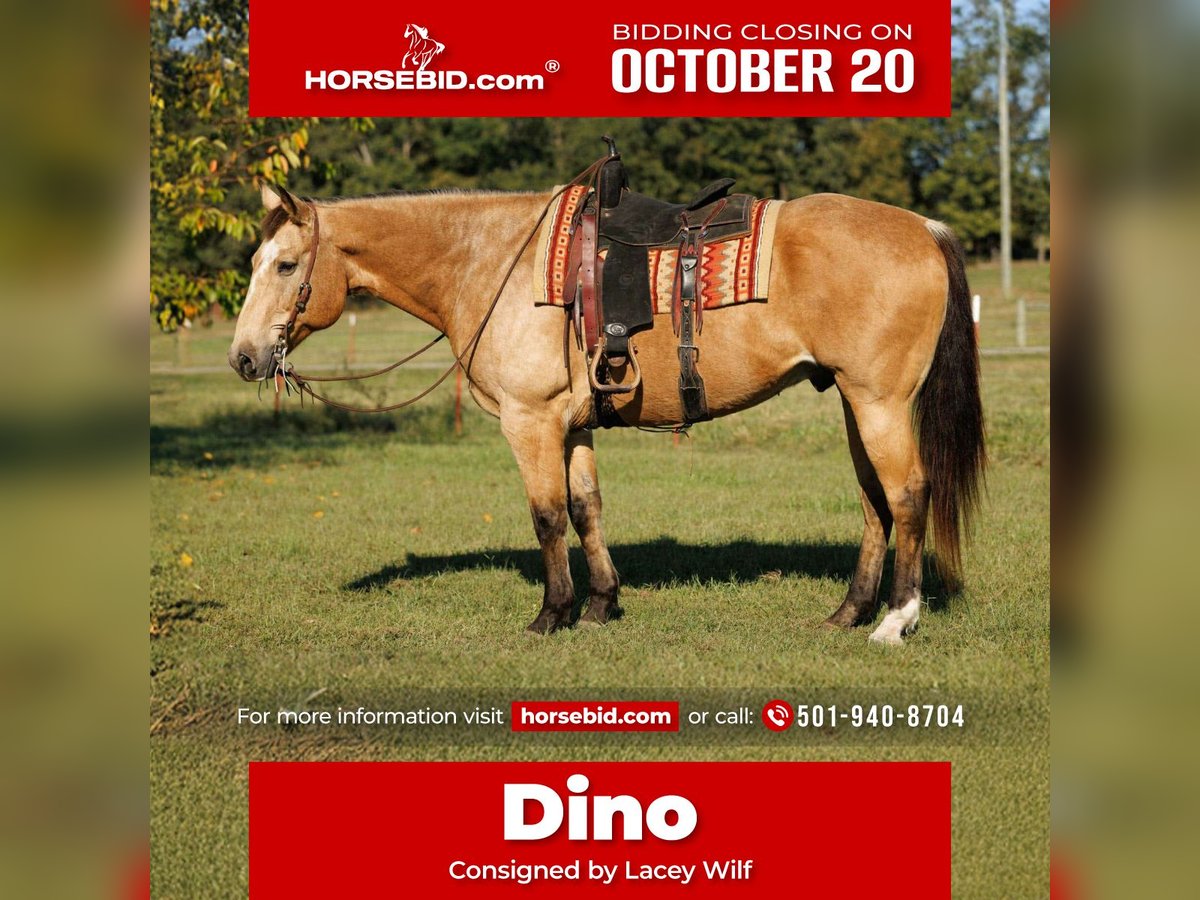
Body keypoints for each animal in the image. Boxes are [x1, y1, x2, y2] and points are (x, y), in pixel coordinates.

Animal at [228, 178, 985, 646]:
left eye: (286, 266)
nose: (244, 357)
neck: (492, 262)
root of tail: (923, 227)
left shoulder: (530, 422)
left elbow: (547, 516)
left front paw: (551, 614)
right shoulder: (574, 426)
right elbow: (587, 508)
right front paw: (599, 605)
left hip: (879, 403)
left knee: (907, 495)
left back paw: (896, 621)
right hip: (856, 404)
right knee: (874, 503)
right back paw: (848, 613)